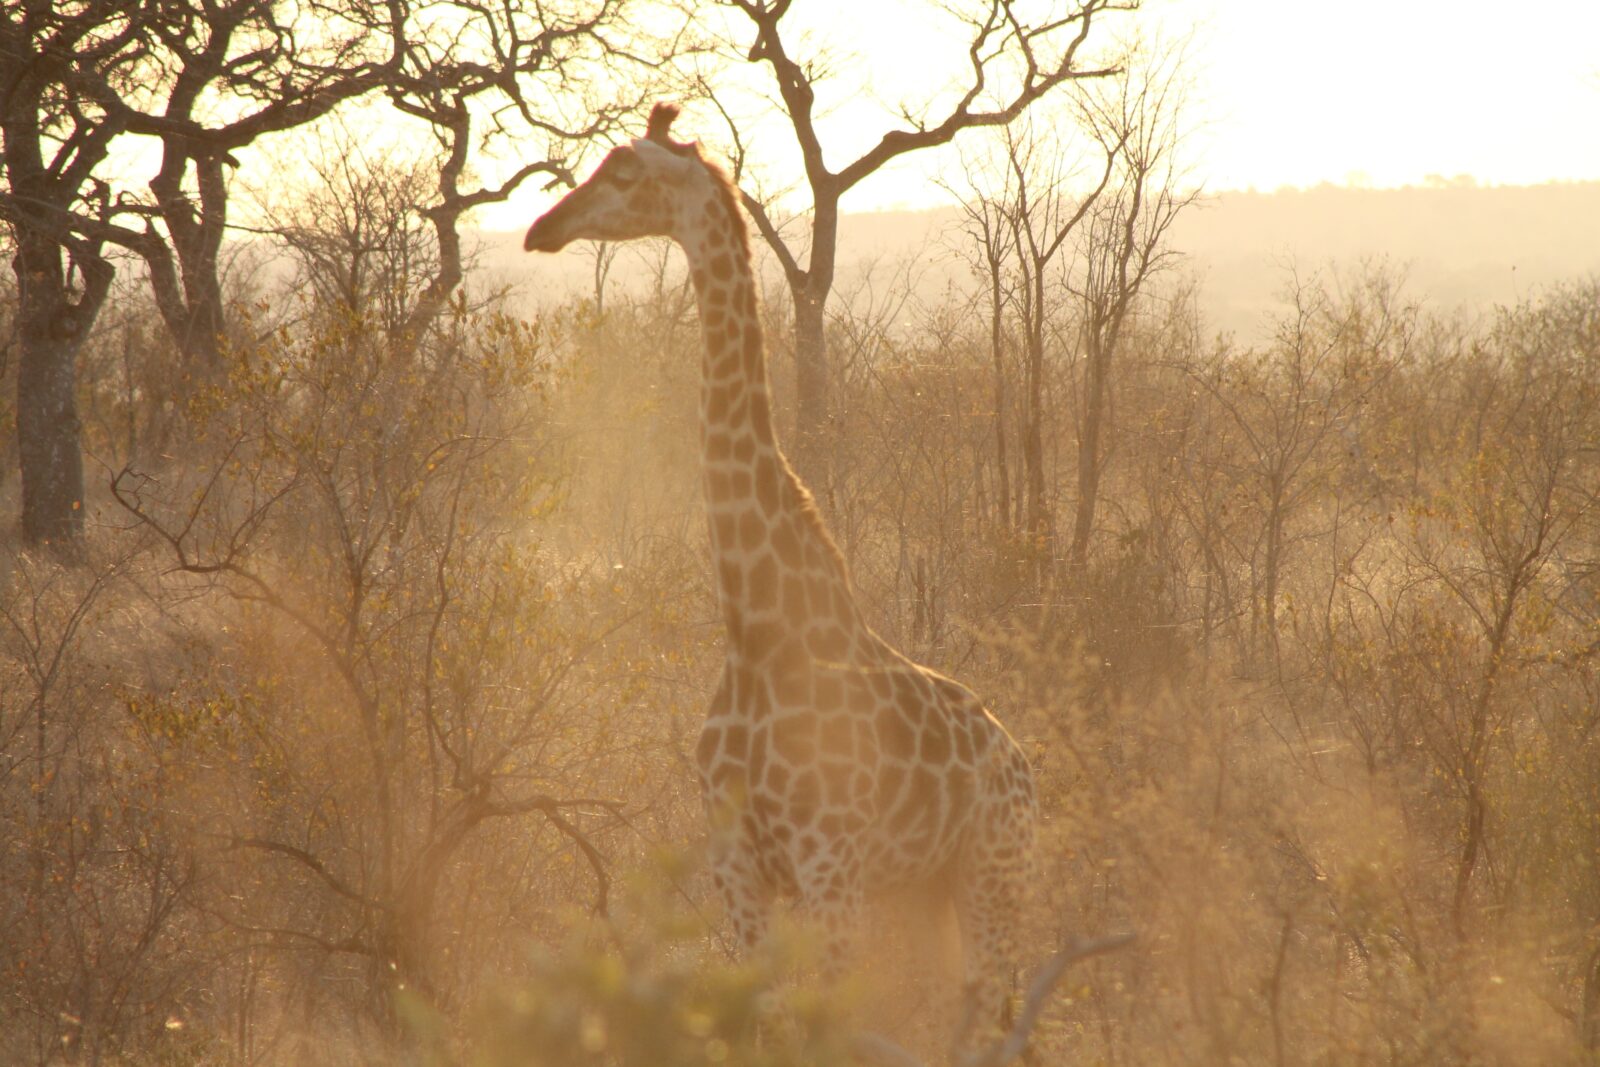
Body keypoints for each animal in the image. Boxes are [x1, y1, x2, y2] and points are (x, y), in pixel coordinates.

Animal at [524, 103, 1043, 1030]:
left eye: (624, 172)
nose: (543, 227)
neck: (755, 629)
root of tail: (1025, 765)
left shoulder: (828, 869)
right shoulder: (738, 871)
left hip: (996, 872)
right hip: (924, 894)